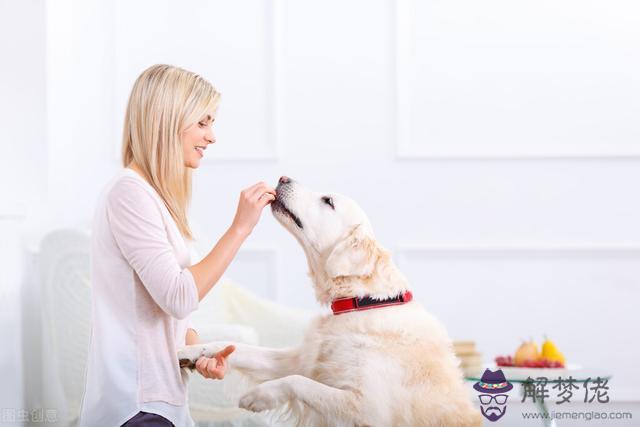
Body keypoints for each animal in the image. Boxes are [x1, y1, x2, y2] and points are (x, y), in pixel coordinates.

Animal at [176, 178, 480, 427]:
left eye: (328, 201)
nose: (282, 178)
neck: (361, 302)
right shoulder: (299, 359)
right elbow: (237, 347)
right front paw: (189, 351)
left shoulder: (367, 406)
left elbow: (297, 382)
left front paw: (259, 396)